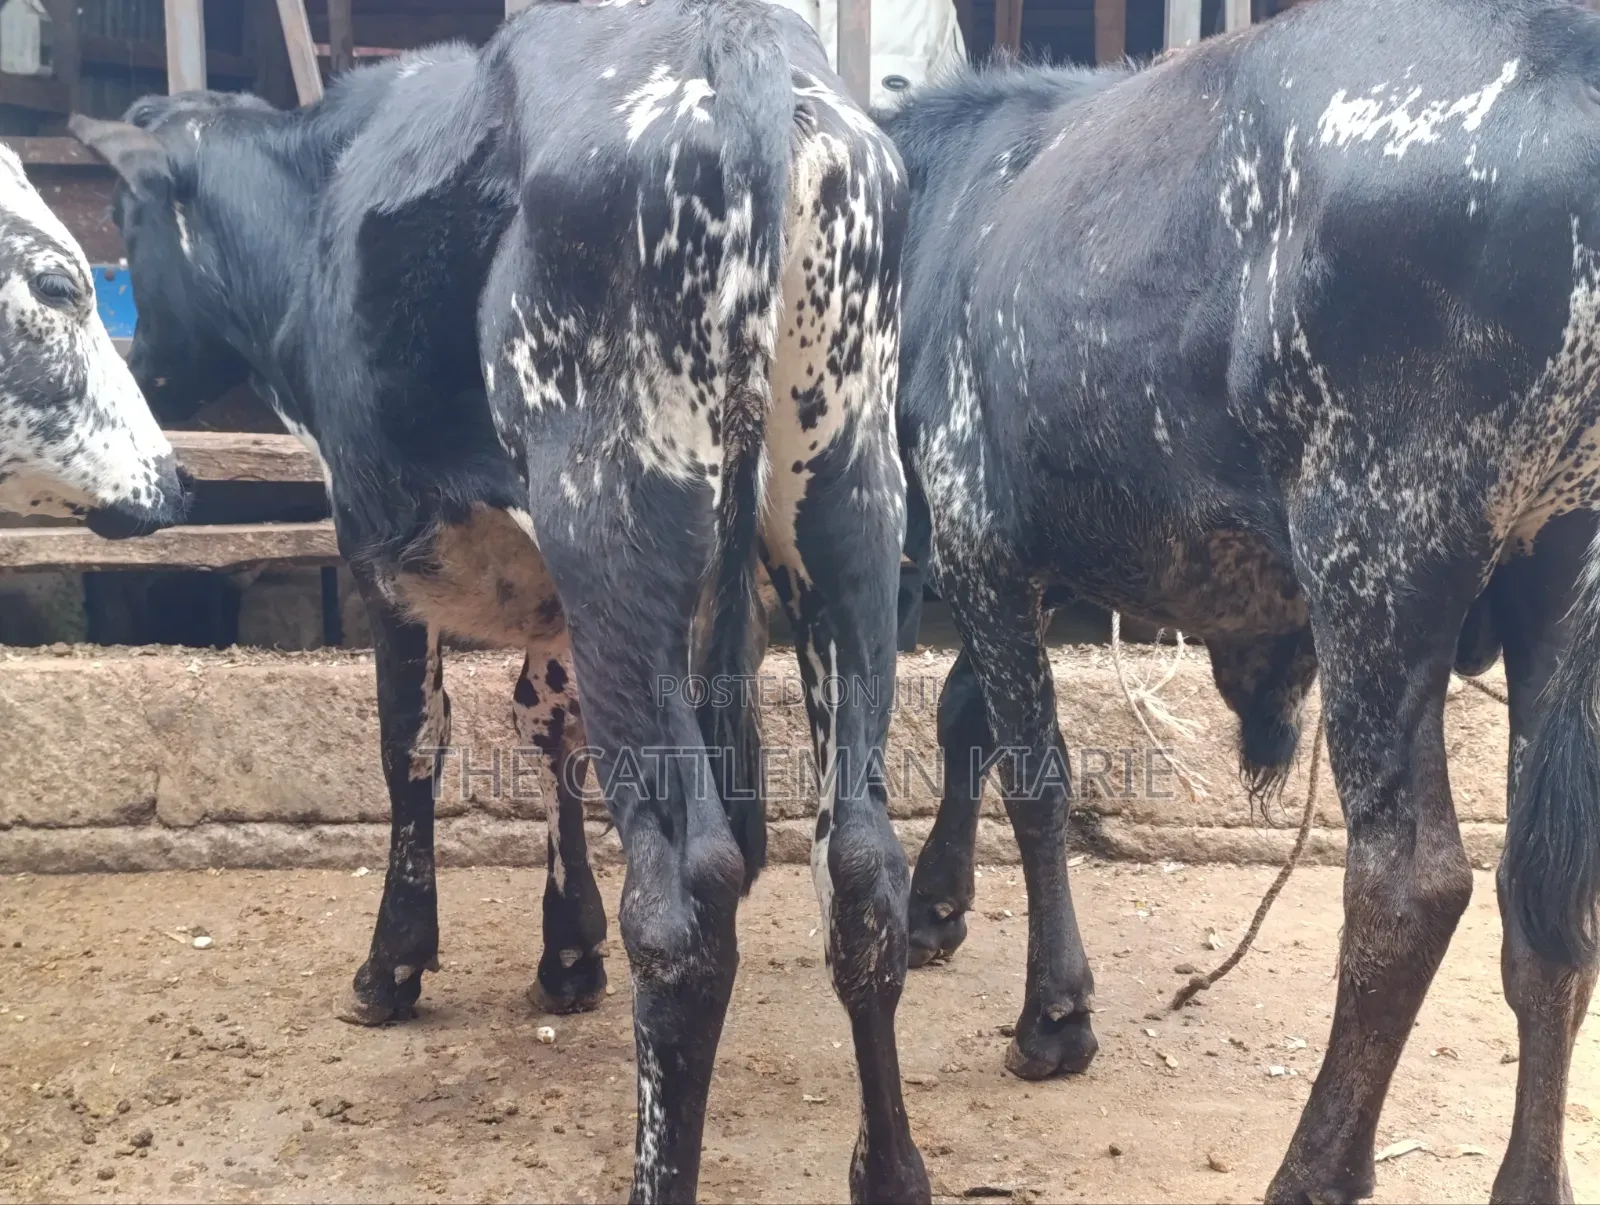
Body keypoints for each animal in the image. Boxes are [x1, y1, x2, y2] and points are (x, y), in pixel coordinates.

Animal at [70, 0, 924, 1199]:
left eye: (127, 219)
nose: (141, 363)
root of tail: (738, 47)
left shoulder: (374, 534)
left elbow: (410, 741)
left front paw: (392, 965)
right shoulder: (551, 603)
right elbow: (549, 727)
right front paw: (566, 949)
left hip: (611, 517)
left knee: (687, 899)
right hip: (844, 505)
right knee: (859, 865)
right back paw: (889, 1169)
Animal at [882, 0, 1600, 1200]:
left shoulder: (979, 533)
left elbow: (1035, 772)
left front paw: (1054, 1013)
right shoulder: (1023, 556)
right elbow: (965, 713)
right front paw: (936, 902)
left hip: (1376, 566)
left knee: (1410, 884)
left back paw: (1314, 1164)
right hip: (1557, 591)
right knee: (1547, 905)